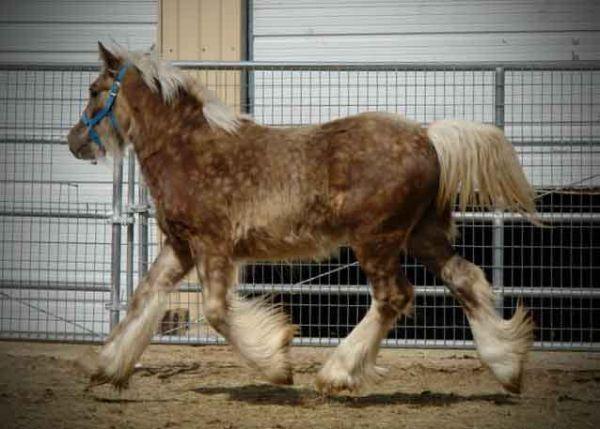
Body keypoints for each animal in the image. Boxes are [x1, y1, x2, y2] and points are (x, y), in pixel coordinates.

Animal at [68, 43, 536, 394]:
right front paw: (106, 365)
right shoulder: (180, 246)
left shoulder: (211, 245)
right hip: (422, 235)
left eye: (93, 91)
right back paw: (507, 368)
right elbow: (143, 298)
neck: (189, 150)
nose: (73, 142)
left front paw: (276, 364)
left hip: (377, 240)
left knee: (395, 297)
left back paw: (336, 374)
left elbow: (217, 312)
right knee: (465, 279)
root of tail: (428, 136)